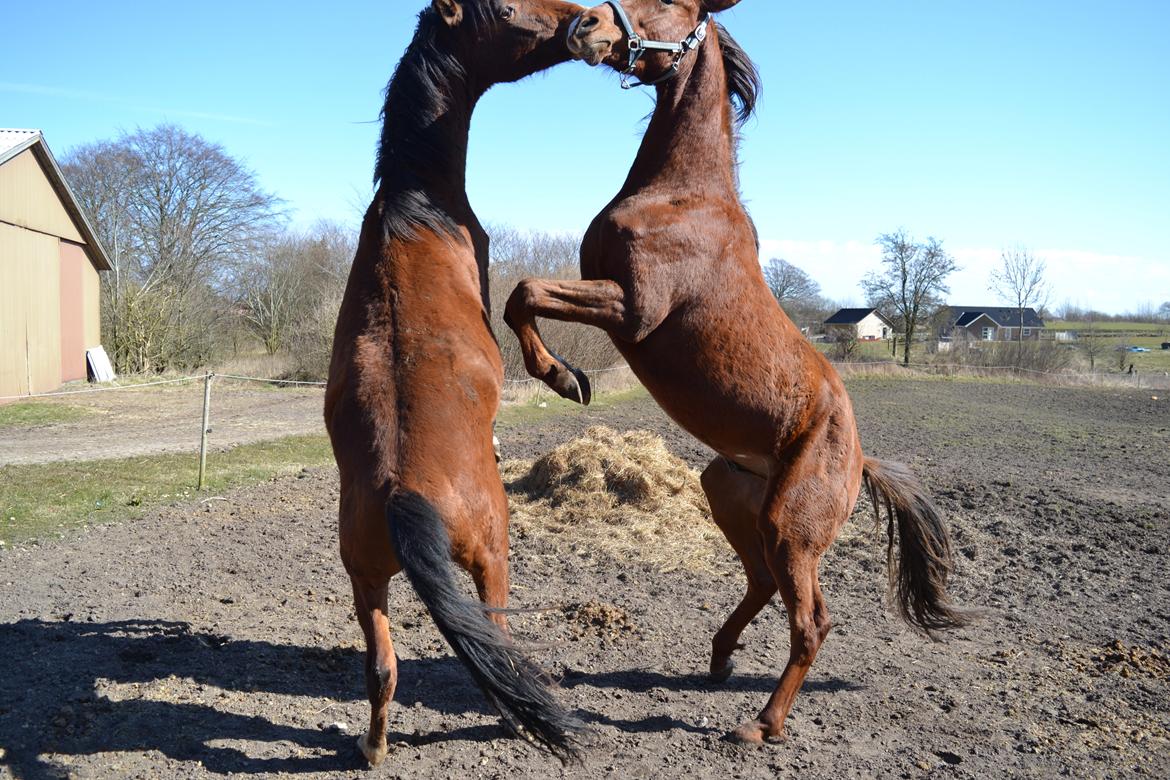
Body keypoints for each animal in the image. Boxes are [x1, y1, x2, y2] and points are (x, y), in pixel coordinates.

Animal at [325, 0, 585, 767]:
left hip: (365, 578)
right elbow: (519, 311)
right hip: (491, 554)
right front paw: (563, 376)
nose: (581, 22)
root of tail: (405, 494)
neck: (414, 204)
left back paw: (373, 749)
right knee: (496, 644)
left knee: (383, 668)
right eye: (504, 11)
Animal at [503, 0, 968, 743]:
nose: (585, 25)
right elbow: (520, 294)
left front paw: (562, 377)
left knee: (812, 622)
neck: (680, 195)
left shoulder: (633, 309)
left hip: (790, 527)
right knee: (764, 585)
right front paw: (566, 375)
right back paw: (720, 659)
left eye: (672, 4)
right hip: (731, 494)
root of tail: (859, 461)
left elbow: (523, 291)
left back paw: (762, 723)